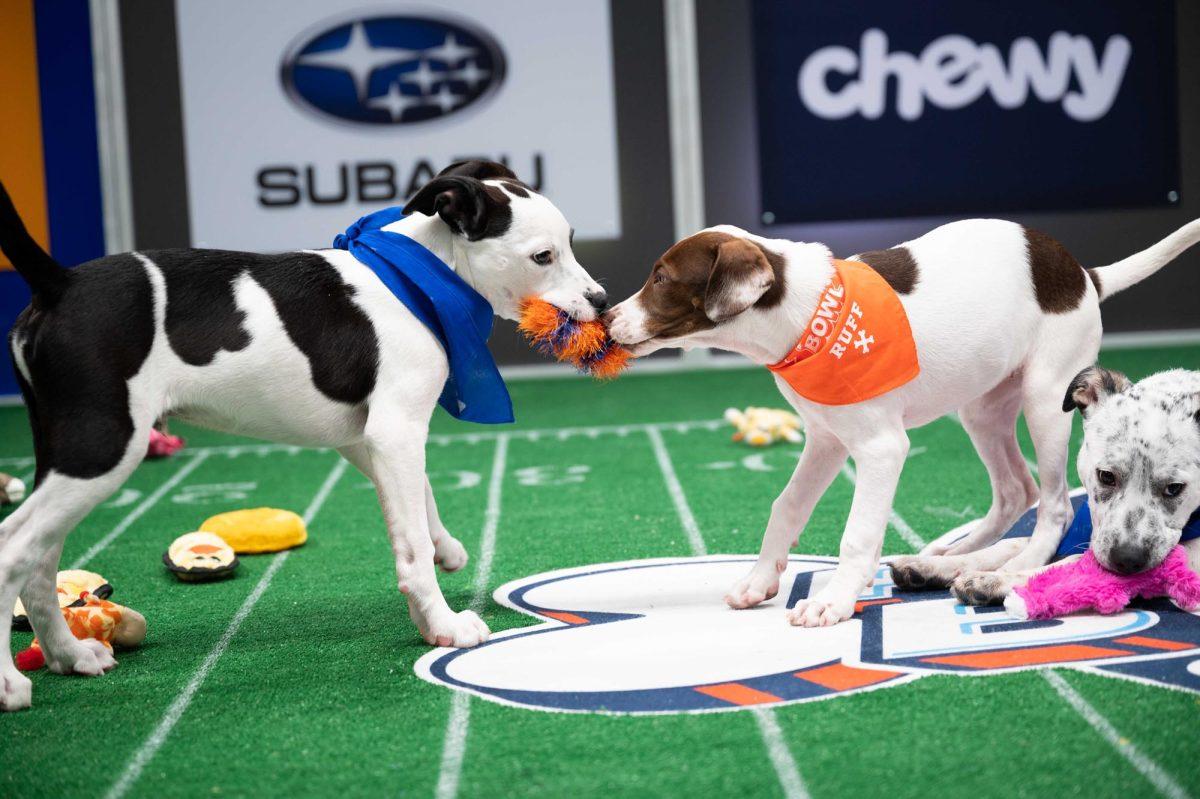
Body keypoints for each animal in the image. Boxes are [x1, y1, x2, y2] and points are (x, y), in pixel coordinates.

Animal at [609, 219, 1200, 628]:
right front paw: (759, 581)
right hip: (982, 406)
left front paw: (834, 600)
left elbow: (857, 532)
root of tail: (1081, 273)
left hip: (1045, 397)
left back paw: (1012, 572)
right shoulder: (825, 440)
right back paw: (949, 557)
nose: (606, 317)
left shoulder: (880, 448)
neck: (808, 317)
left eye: (660, 277)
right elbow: (786, 507)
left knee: (1053, 504)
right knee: (1017, 489)